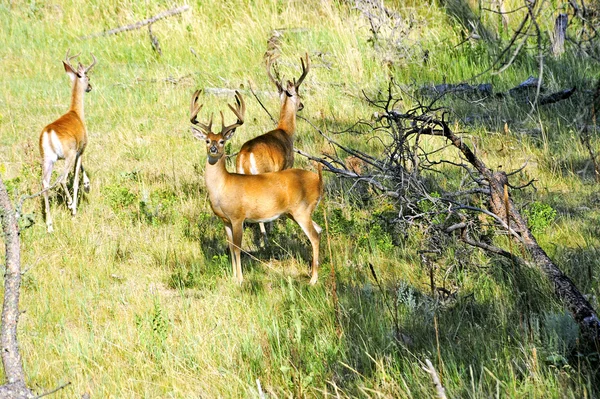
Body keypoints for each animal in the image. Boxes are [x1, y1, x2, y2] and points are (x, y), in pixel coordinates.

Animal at [38, 50, 96, 233]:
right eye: (88, 77)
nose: (90, 87)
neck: (75, 113)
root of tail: (49, 133)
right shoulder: (81, 148)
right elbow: (77, 178)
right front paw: (85, 188)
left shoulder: (78, 151)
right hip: (66, 155)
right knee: (62, 179)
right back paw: (71, 206)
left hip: (47, 159)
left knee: (45, 184)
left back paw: (49, 225)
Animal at [192, 89, 324, 286]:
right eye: (207, 140)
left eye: (222, 141)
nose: (214, 149)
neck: (223, 186)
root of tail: (319, 180)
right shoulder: (225, 220)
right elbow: (230, 247)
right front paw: (233, 277)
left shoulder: (238, 216)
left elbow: (238, 248)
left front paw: (240, 280)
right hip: (295, 212)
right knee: (319, 230)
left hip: (302, 210)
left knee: (314, 236)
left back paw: (313, 280)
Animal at [234, 53, 310, 244]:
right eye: (299, 93)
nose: (302, 105)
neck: (286, 131)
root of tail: (245, 156)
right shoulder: (287, 166)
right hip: (263, 173)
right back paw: (265, 238)